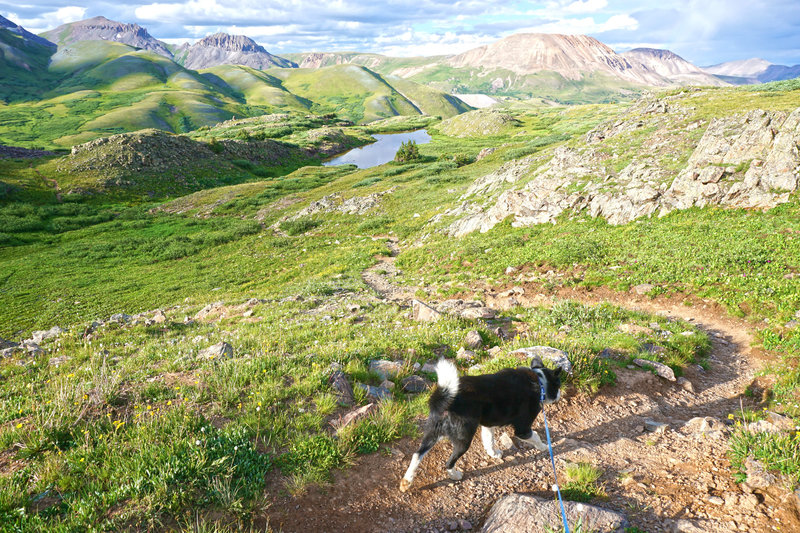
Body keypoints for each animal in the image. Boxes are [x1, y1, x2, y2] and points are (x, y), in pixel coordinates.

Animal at [400, 356, 564, 492]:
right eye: (558, 385)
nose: (559, 395)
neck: (540, 381)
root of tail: (444, 399)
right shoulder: (522, 429)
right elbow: (535, 436)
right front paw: (544, 447)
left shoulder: (488, 424)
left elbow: (488, 439)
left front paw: (493, 453)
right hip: (463, 440)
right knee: (448, 462)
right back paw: (455, 475)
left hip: (432, 433)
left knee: (417, 454)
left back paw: (406, 482)